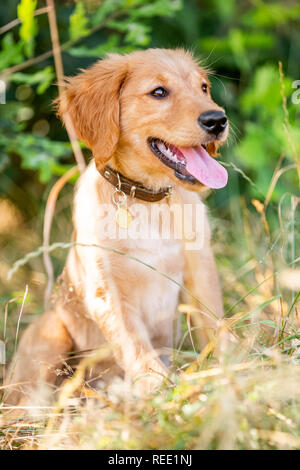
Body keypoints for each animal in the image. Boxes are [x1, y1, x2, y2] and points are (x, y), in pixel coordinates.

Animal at [5, 49, 227, 406]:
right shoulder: (106, 288)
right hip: (49, 335)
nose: (218, 120)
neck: (147, 200)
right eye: (159, 92)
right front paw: (159, 388)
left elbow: (215, 323)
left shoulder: (200, 267)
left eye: (204, 88)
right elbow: (134, 341)